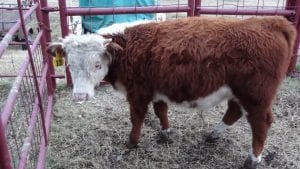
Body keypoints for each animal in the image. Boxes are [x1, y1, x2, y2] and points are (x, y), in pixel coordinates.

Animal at [47, 16, 296, 169]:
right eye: (69, 64)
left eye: (97, 64)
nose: (80, 96)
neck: (127, 47)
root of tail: (272, 22)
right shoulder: (157, 88)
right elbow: (161, 110)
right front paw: (166, 132)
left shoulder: (138, 92)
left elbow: (137, 117)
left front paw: (132, 142)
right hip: (239, 92)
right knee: (234, 111)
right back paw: (213, 135)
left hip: (257, 96)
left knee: (261, 122)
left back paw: (253, 158)